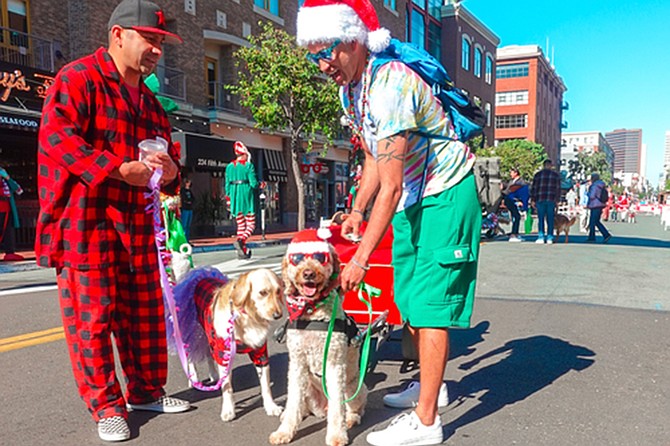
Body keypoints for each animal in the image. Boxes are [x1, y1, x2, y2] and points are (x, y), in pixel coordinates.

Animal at [172, 266, 284, 424]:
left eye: (278, 291)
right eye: (262, 292)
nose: (278, 315)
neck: (247, 317)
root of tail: (199, 273)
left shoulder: (260, 353)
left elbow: (266, 385)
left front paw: (271, 407)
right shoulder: (224, 353)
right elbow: (227, 387)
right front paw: (228, 410)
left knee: (209, 355)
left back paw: (213, 375)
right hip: (192, 333)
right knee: (191, 357)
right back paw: (193, 379)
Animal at [270, 232, 370, 444]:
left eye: (319, 257)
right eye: (297, 258)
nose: (308, 273)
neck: (310, 310)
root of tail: (321, 408)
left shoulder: (334, 364)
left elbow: (338, 408)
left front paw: (337, 436)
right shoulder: (297, 364)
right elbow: (293, 402)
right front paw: (284, 432)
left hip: (355, 386)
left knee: (355, 408)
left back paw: (351, 419)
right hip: (307, 385)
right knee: (301, 406)